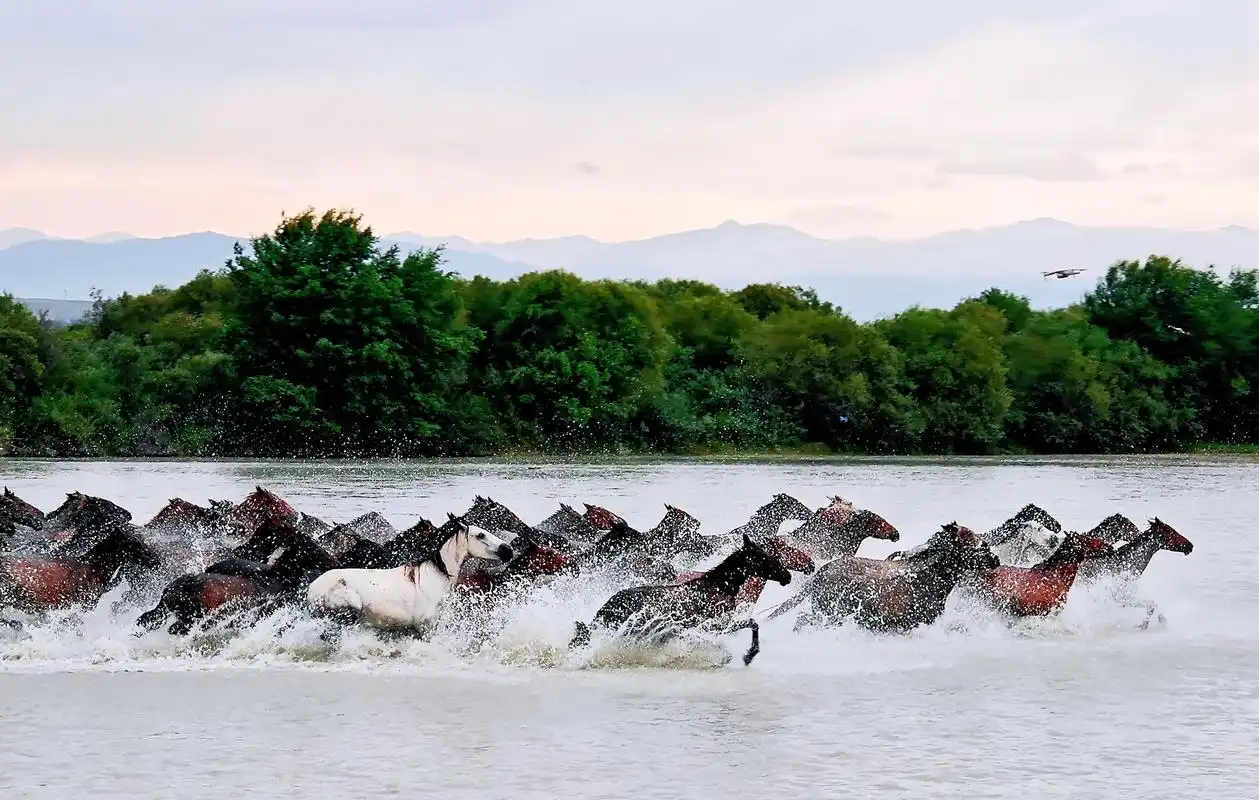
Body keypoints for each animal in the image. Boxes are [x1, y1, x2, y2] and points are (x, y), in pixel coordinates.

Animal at [568, 533, 794, 667]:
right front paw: (748, 655)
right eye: (763, 557)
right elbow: (753, 624)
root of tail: (611, 602)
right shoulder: (717, 623)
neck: (720, 587)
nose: (787, 576)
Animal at [767, 522, 1001, 633]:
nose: (995, 559)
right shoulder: (914, 622)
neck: (930, 578)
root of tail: (819, 575)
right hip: (830, 613)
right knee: (802, 621)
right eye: (980, 544)